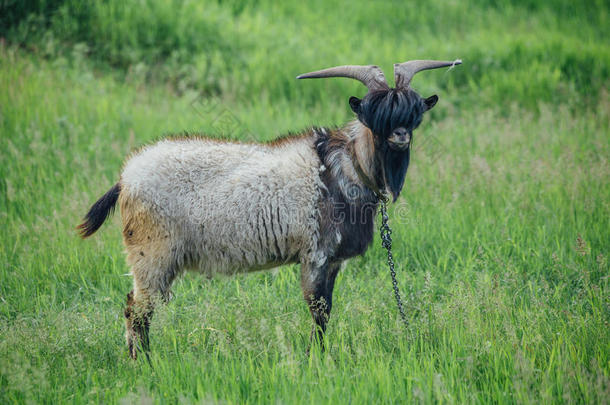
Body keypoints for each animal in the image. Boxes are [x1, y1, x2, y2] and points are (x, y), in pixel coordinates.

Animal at [78, 59, 458, 356]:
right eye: (375, 115)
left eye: (413, 114)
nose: (400, 136)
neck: (344, 166)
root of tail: (126, 179)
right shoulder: (315, 254)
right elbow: (319, 311)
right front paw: (316, 359)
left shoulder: (333, 262)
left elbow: (327, 309)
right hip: (152, 254)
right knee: (136, 311)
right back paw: (145, 364)